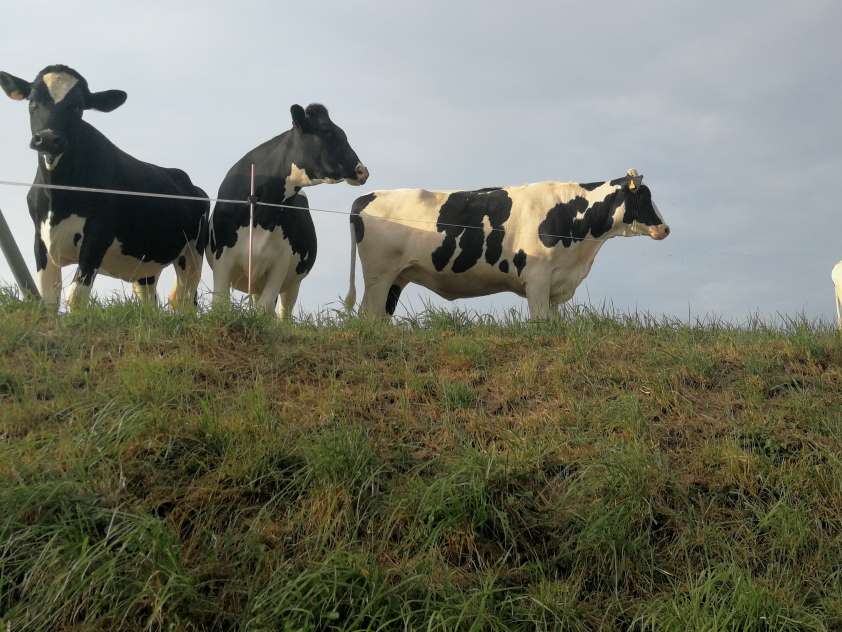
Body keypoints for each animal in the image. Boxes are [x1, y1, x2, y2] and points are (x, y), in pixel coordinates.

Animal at [0, 65, 208, 310]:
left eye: (77, 107)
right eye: (32, 102)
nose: (48, 139)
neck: (58, 197)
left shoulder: (98, 236)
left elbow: (76, 295)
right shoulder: (40, 238)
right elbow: (49, 298)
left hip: (193, 253)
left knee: (185, 300)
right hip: (145, 266)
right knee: (150, 303)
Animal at [208, 105, 368, 318]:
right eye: (328, 132)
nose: (363, 171)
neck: (261, 215)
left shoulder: (280, 264)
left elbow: (264, 308)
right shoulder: (222, 260)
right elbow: (220, 304)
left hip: (292, 285)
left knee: (283, 313)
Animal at [342, 168, 668, 318]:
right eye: (644, 196)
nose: (665, 228)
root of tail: (366, 197)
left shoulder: (555, 284)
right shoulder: (537, 278)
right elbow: (540, 322)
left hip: (397, 277)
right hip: (379, 274)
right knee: (367, 316)